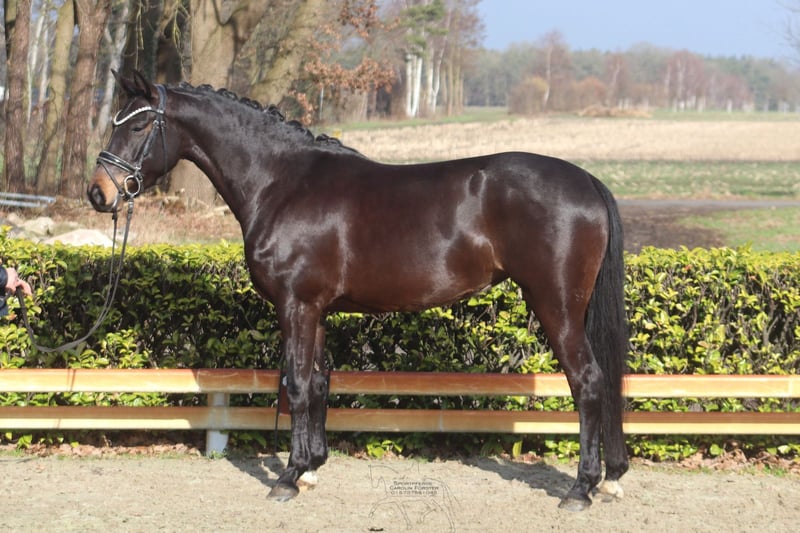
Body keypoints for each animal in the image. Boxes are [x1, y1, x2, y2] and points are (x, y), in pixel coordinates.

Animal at [88, 71, 629, 511]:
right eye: (116, 122)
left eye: (137, 127)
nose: (99, 193)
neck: (281, 183)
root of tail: (587, 181)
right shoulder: (317, 311)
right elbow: (318, 383)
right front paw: (311, 468)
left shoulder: (296, 306)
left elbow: (298, 385)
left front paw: (287, 477)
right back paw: (611, 477)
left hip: (556, 306)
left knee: (588, 383)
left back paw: (581, 488)